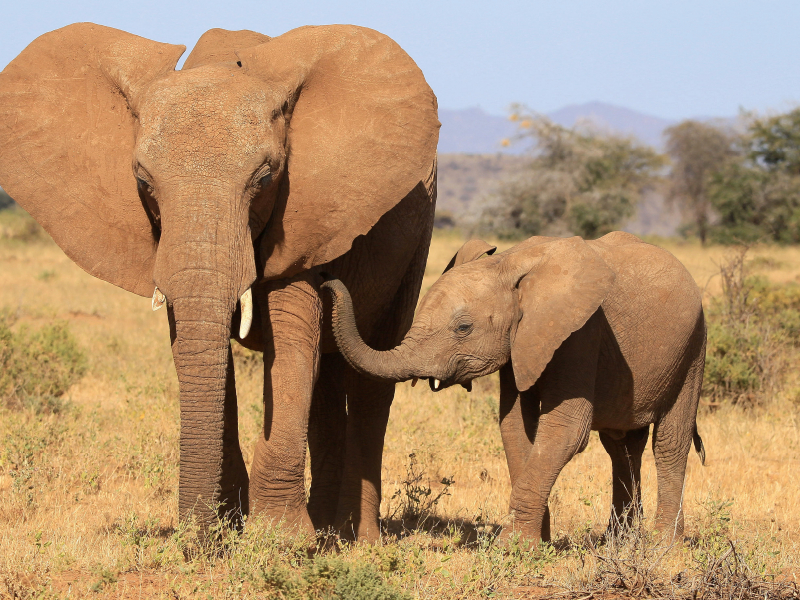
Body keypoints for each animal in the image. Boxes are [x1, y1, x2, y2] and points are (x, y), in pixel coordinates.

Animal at [0, 23, 438, 540]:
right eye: (143, 182)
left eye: (265, 178)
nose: (194, 539)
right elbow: (194, 343)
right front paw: (228, 530)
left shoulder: (304, 212)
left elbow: (292, 336)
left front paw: (281, 541)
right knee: (329, 375)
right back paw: (328, 531)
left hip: (420, 233)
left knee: (373, 374)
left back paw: (356, 538)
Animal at [322, 232, 704, 540]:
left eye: (463, 327)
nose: (326, 281)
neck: (506, 264)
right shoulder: (518, 340)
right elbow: (514, 424)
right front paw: (535, 542)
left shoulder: (582, 332)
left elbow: (567, 429)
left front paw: (513, 546)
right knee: (621, 446)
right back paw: (620, 542)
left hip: (692, 349)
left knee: (669, 443)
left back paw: (663, 546)